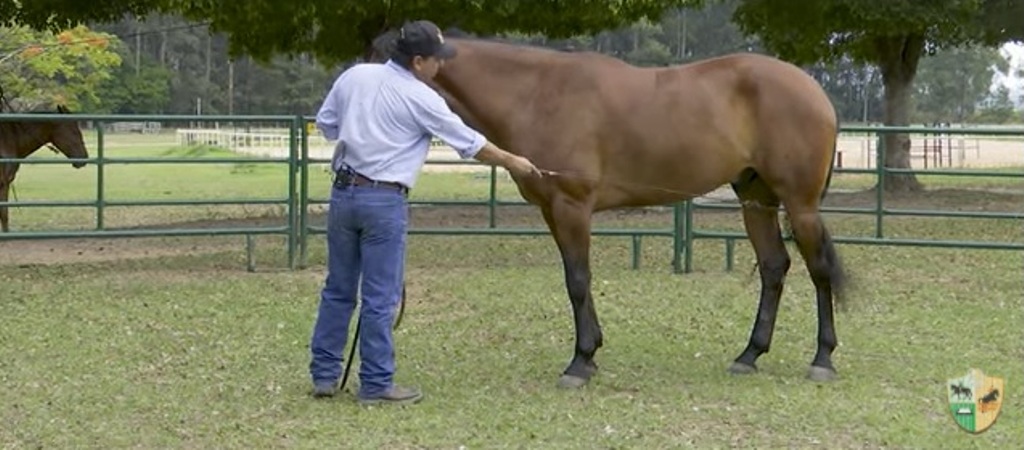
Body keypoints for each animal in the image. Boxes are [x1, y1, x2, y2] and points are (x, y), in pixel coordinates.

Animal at [376, 34, 847, 387]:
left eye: (384, 65)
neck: (538, 94)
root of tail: (814, 90)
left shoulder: (572, 207)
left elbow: (579, 281)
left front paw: (579, 362)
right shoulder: (553, 211)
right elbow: (575, 280)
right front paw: (591, 355)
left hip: (800, 205)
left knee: (819, 270)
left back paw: (822, 359)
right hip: (756, 202)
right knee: (774, 267)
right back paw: (749, 355)